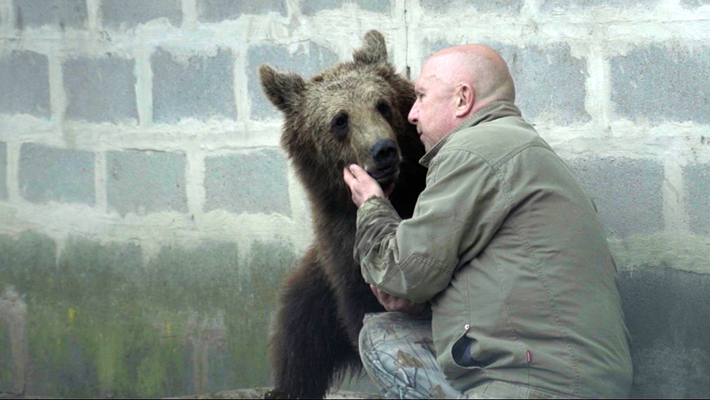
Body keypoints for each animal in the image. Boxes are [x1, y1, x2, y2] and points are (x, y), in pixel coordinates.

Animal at [259, 30, 427, 399]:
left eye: (382, 104)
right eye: (340, 119)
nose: (383, 150)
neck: (400, 194)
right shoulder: (340, 243)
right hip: (318, 280)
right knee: (298, 325)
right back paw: (287, 387)